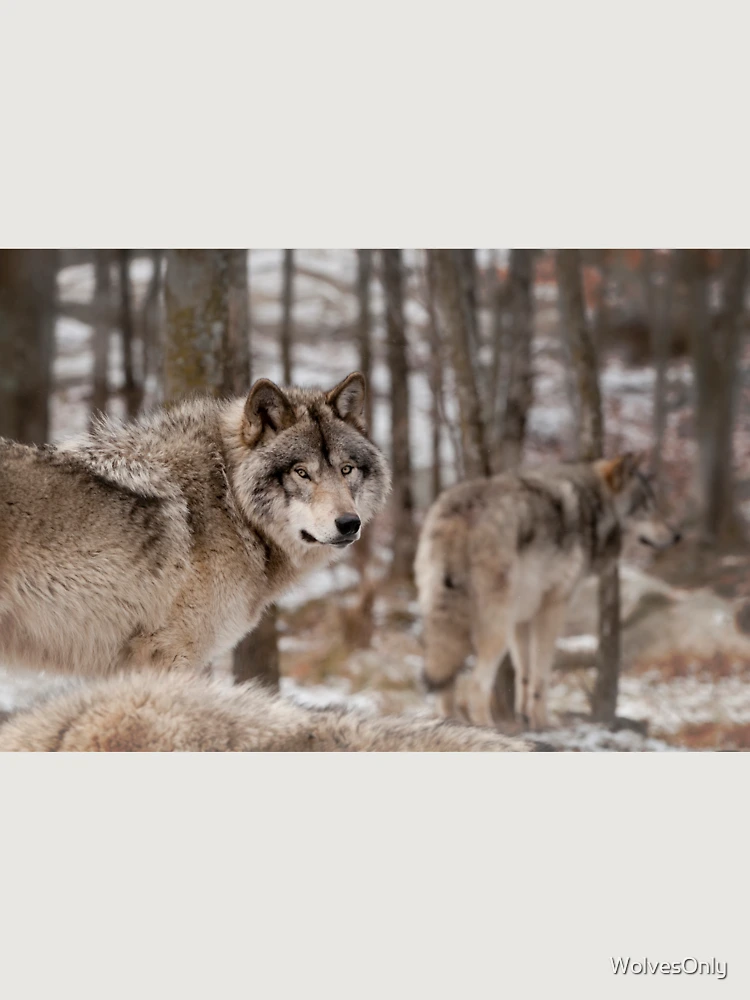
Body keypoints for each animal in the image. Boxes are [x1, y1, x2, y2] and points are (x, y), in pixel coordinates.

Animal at [415, 453, 680, 731]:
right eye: (647, 506)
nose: (677, 535)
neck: (593, 509)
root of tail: (462, 510)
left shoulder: (521, 618)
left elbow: (524, 674)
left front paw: (524, 718)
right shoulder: (554, 607)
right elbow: (541, 675)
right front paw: (543, 722)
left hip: (447, 623)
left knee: (445, 685)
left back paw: (451, 725)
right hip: (495, 630)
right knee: (476, 687)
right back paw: (489, 729)